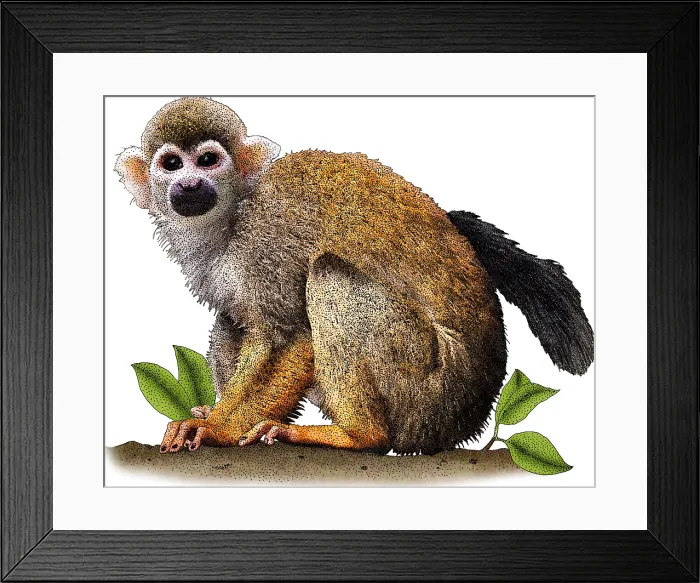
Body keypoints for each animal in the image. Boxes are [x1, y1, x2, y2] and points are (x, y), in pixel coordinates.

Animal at [115, 97, 593, 456]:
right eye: (172, 163)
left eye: (208, 160)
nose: (190, 185)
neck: (233, 213)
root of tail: (468, 418)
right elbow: (246, 325)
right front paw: (213, 417)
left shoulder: (269, 235)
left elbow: (290, 337)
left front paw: (217, 430)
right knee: (231, 322)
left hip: (429, 387)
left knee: (330, 277)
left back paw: (359, 435)